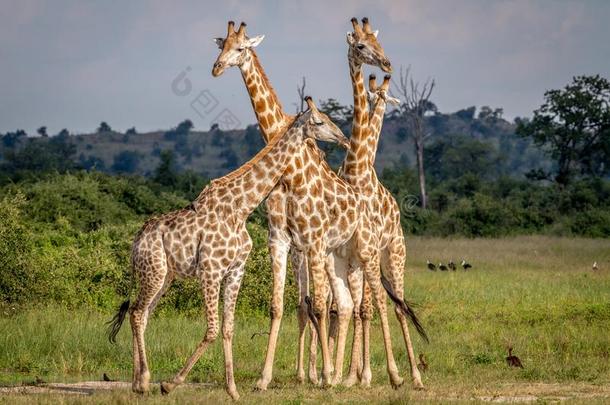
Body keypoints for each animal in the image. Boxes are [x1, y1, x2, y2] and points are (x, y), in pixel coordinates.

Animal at [104, 97, 346, 398]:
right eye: (320, 121)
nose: (343, 137)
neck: (240, 208)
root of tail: (136, 241)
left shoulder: (235, 271)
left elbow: (228, 328)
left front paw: (232, 389)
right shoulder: (210, 270)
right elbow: (211, 330)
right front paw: (170, 383)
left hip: (164, 277)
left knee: (142, 313)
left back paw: (138, 383)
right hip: (154, 272)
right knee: (137, 313)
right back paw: (146, 379)